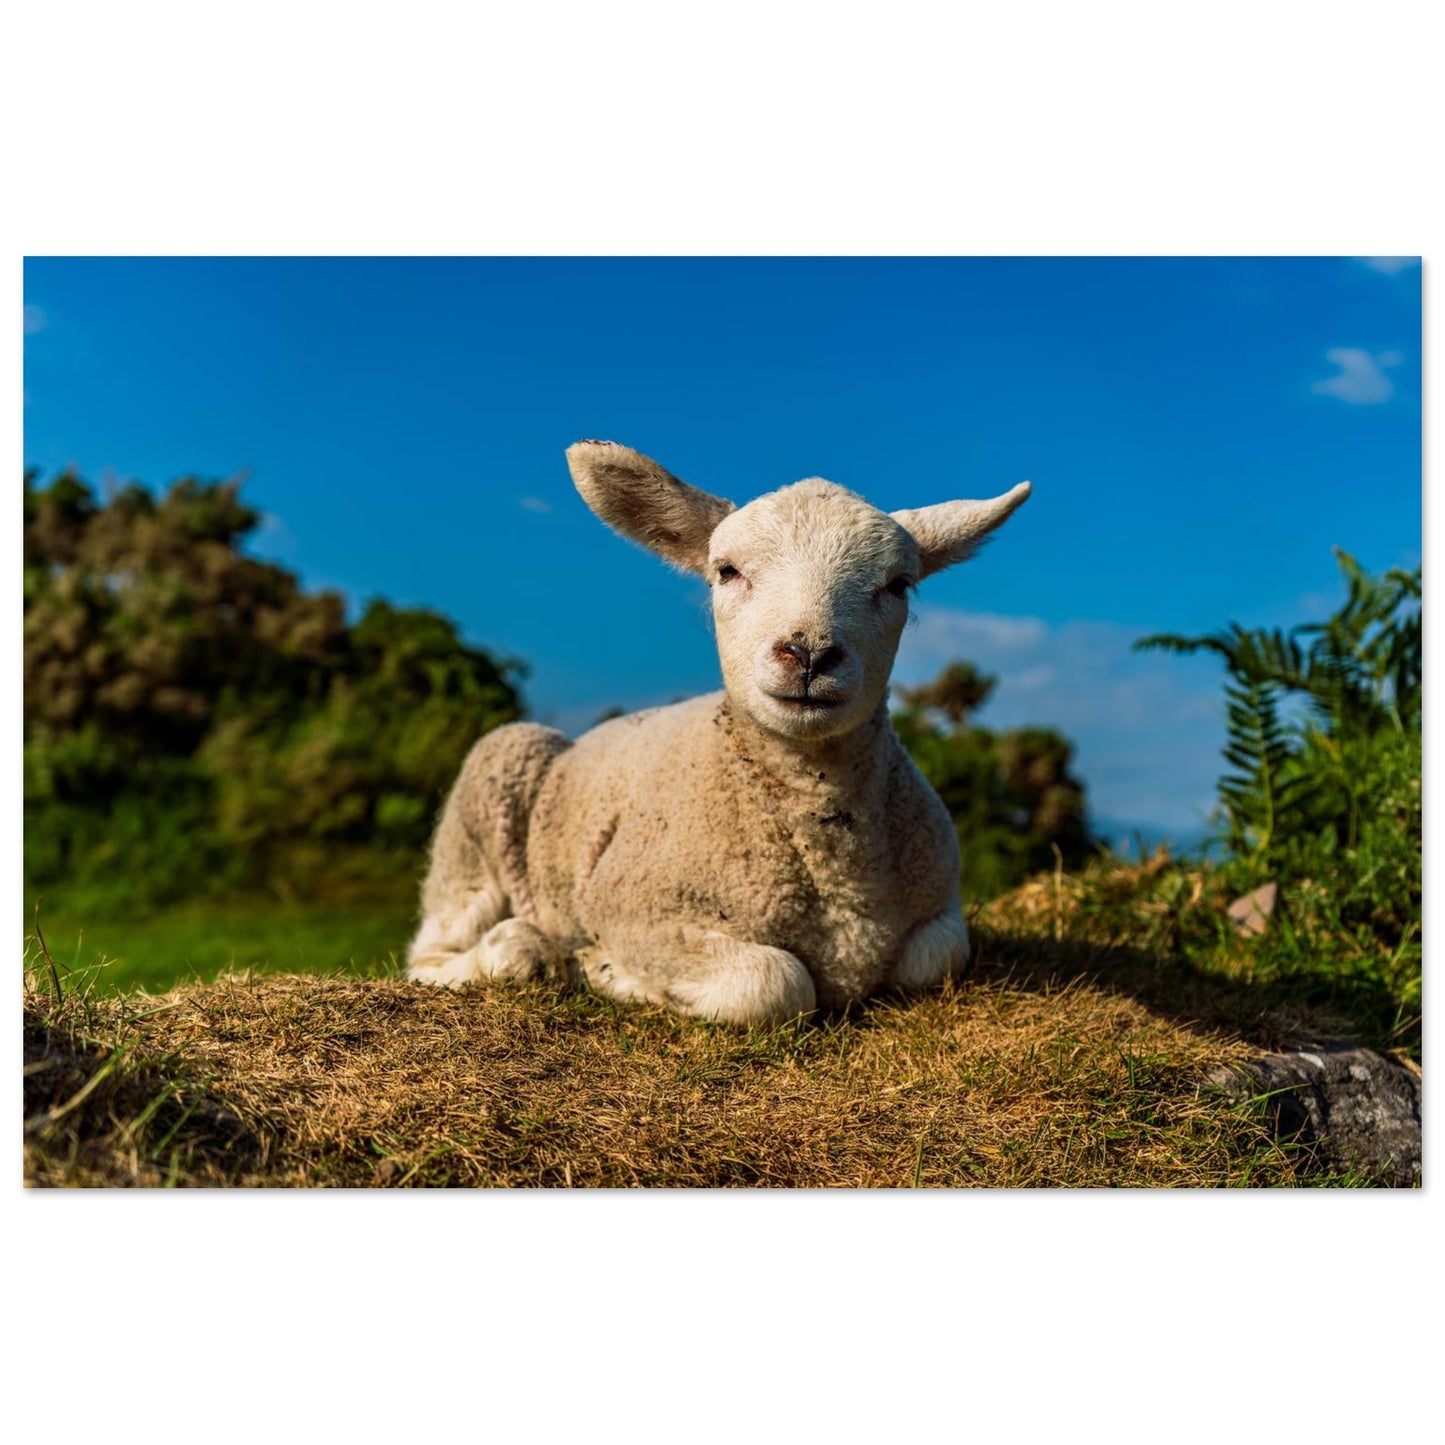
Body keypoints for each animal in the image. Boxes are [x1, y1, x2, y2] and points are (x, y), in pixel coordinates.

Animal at [406, 440, 1030, 1025]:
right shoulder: (632, 908)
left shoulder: (940, 905)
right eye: (727, 571)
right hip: (491, 789)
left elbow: (935, 959)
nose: (808, 653)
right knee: (430, 955)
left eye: (899, 584)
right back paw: (521, 951)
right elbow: (774, 983)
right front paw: (607, 970)